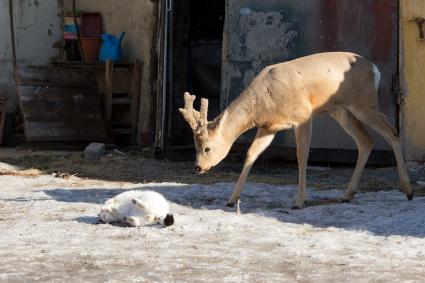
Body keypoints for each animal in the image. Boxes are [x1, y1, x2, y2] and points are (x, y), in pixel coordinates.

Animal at [177, 52, 412, 210]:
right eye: (195, 145)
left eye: (207, 148)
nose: (198, 167)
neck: (263, 102)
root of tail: (375, 70)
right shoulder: (268, 127)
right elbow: (251, 154)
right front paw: (231, 199)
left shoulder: (303, 115)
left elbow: (302, 154)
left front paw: (299, 201)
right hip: (341, 110)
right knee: (366, 140)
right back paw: (348, 194)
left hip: (363, 103)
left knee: (391, 132)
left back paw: (408, 191)